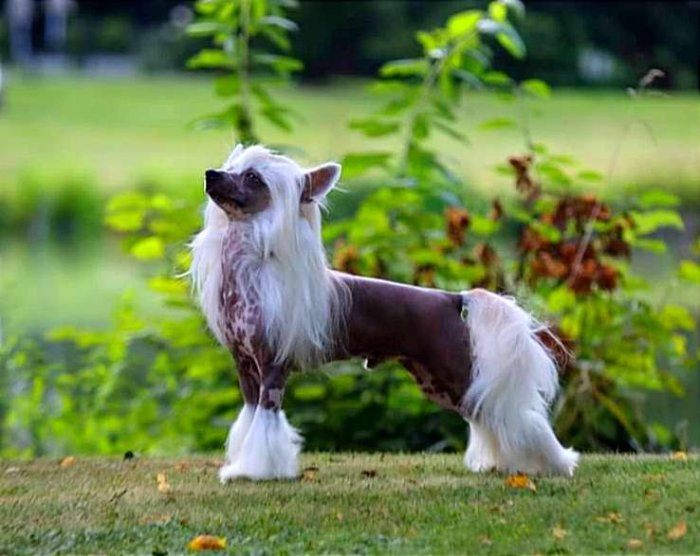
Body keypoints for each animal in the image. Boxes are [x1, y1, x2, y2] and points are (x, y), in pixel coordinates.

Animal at [190, 144, 579, 481]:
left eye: (253, 177)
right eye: (231, 167)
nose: (210, 174)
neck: (248, 276)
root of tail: (451, 297)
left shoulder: (272, 369)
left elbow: (266, 425)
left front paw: (257, 472)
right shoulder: (245, 367)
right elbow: (249, 421)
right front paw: (240, 467)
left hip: (453, 372)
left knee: (511, 416)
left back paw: (553, 464)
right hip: (435, 381)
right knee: (487, 416)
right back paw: (502, 462)